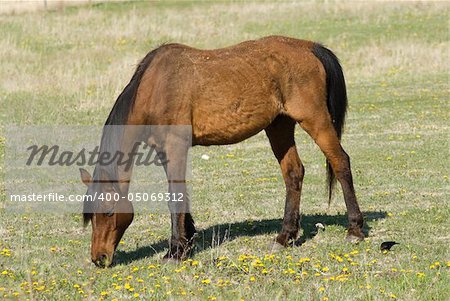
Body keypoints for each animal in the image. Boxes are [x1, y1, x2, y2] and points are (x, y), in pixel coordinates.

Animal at [79, 36, 364, 266]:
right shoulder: (165, 151)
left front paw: (175, 251)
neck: (156, 86)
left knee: (340, 162)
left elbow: (174, 196)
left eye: (108, 211)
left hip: (315, 120)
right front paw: (187, 240)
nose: (99, 258)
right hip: (279, 126)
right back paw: (285, 237)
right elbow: (181, 193)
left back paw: (354, 230)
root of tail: (310, 47)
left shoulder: (175, 146)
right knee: (294, 173)